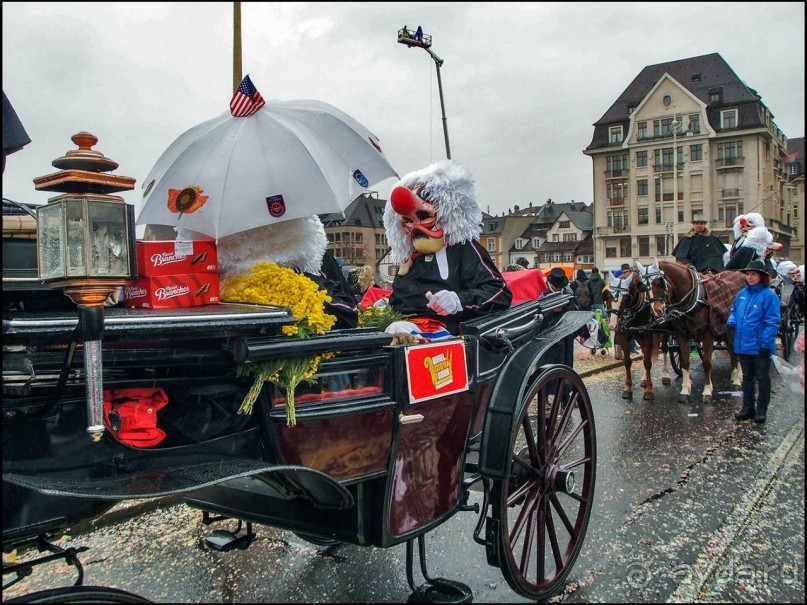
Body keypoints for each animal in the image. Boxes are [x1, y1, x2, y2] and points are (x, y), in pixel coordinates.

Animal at [612, 268, 676, 398]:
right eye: (608, 296)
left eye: (625, 298)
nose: (614, 326)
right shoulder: (624, 334)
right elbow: (628, 361)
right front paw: (628, 388)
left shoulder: (647, 334)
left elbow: (647, 362)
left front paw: (649, 390)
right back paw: (644, 378)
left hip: (664, 331)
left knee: (665, 349)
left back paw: (665, 375)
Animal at [644, 258, 744, 402]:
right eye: (646, 287)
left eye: (659, 283)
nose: (656, 311)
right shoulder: (681, 335)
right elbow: (685, 361)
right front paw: (685, 391)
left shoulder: (708, 336)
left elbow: (707, 363)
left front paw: (707, 391)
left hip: (733, 330)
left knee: (734, 351)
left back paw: (737, 378)